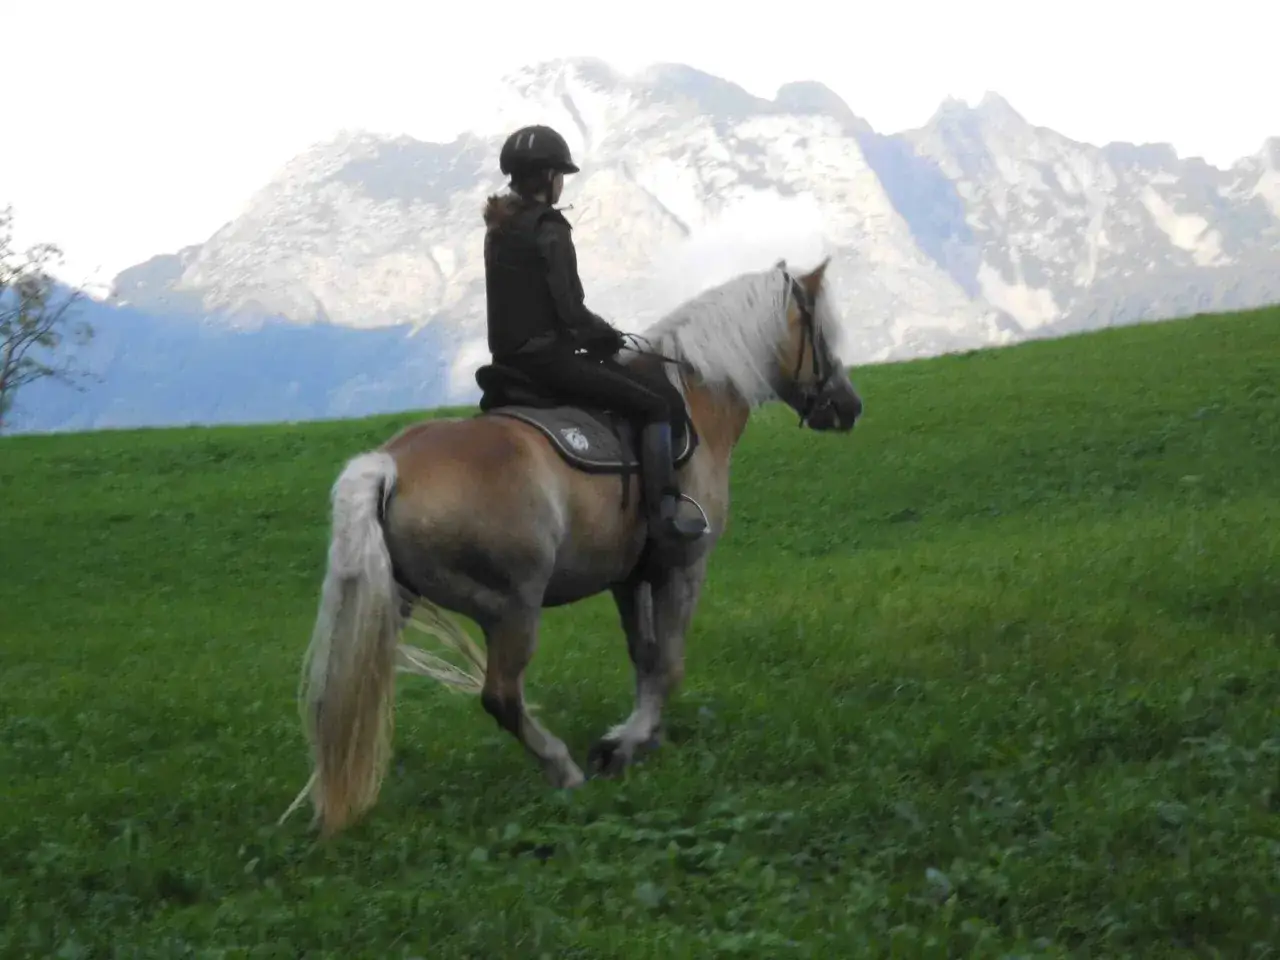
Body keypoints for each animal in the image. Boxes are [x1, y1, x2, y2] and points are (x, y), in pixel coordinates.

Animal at [294, 256, 863, 837]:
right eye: (822, 331)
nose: (848, 406)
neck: (696, 399)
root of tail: (389, 465)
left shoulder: (628, 579)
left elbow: (646, 657)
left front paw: (644, 736)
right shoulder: (683, 567)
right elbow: (669, 663)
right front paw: (624, 743)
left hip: (399, 602)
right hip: (512, 608)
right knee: (501, 696)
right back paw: (562, 768)